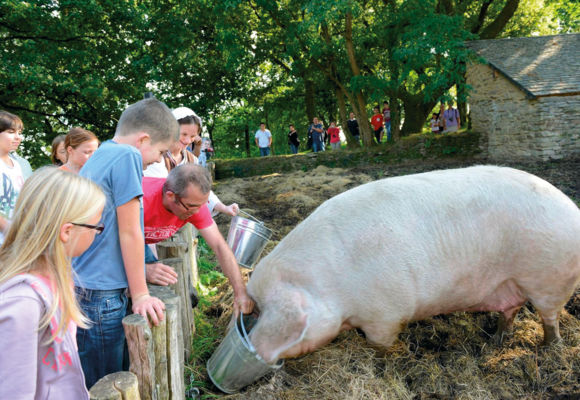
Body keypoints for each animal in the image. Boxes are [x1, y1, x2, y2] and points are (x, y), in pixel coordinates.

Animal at [247, 166, 580, 362]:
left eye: (261, 311)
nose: (252, 346)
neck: (330, 282)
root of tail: (572, 209)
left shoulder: (386, 312)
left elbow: (380, 343)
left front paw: (379, 358)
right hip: (512, 283)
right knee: (510, 309)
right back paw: (496, 339)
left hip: (550, 277)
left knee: (550, 317)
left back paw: (548, 349)